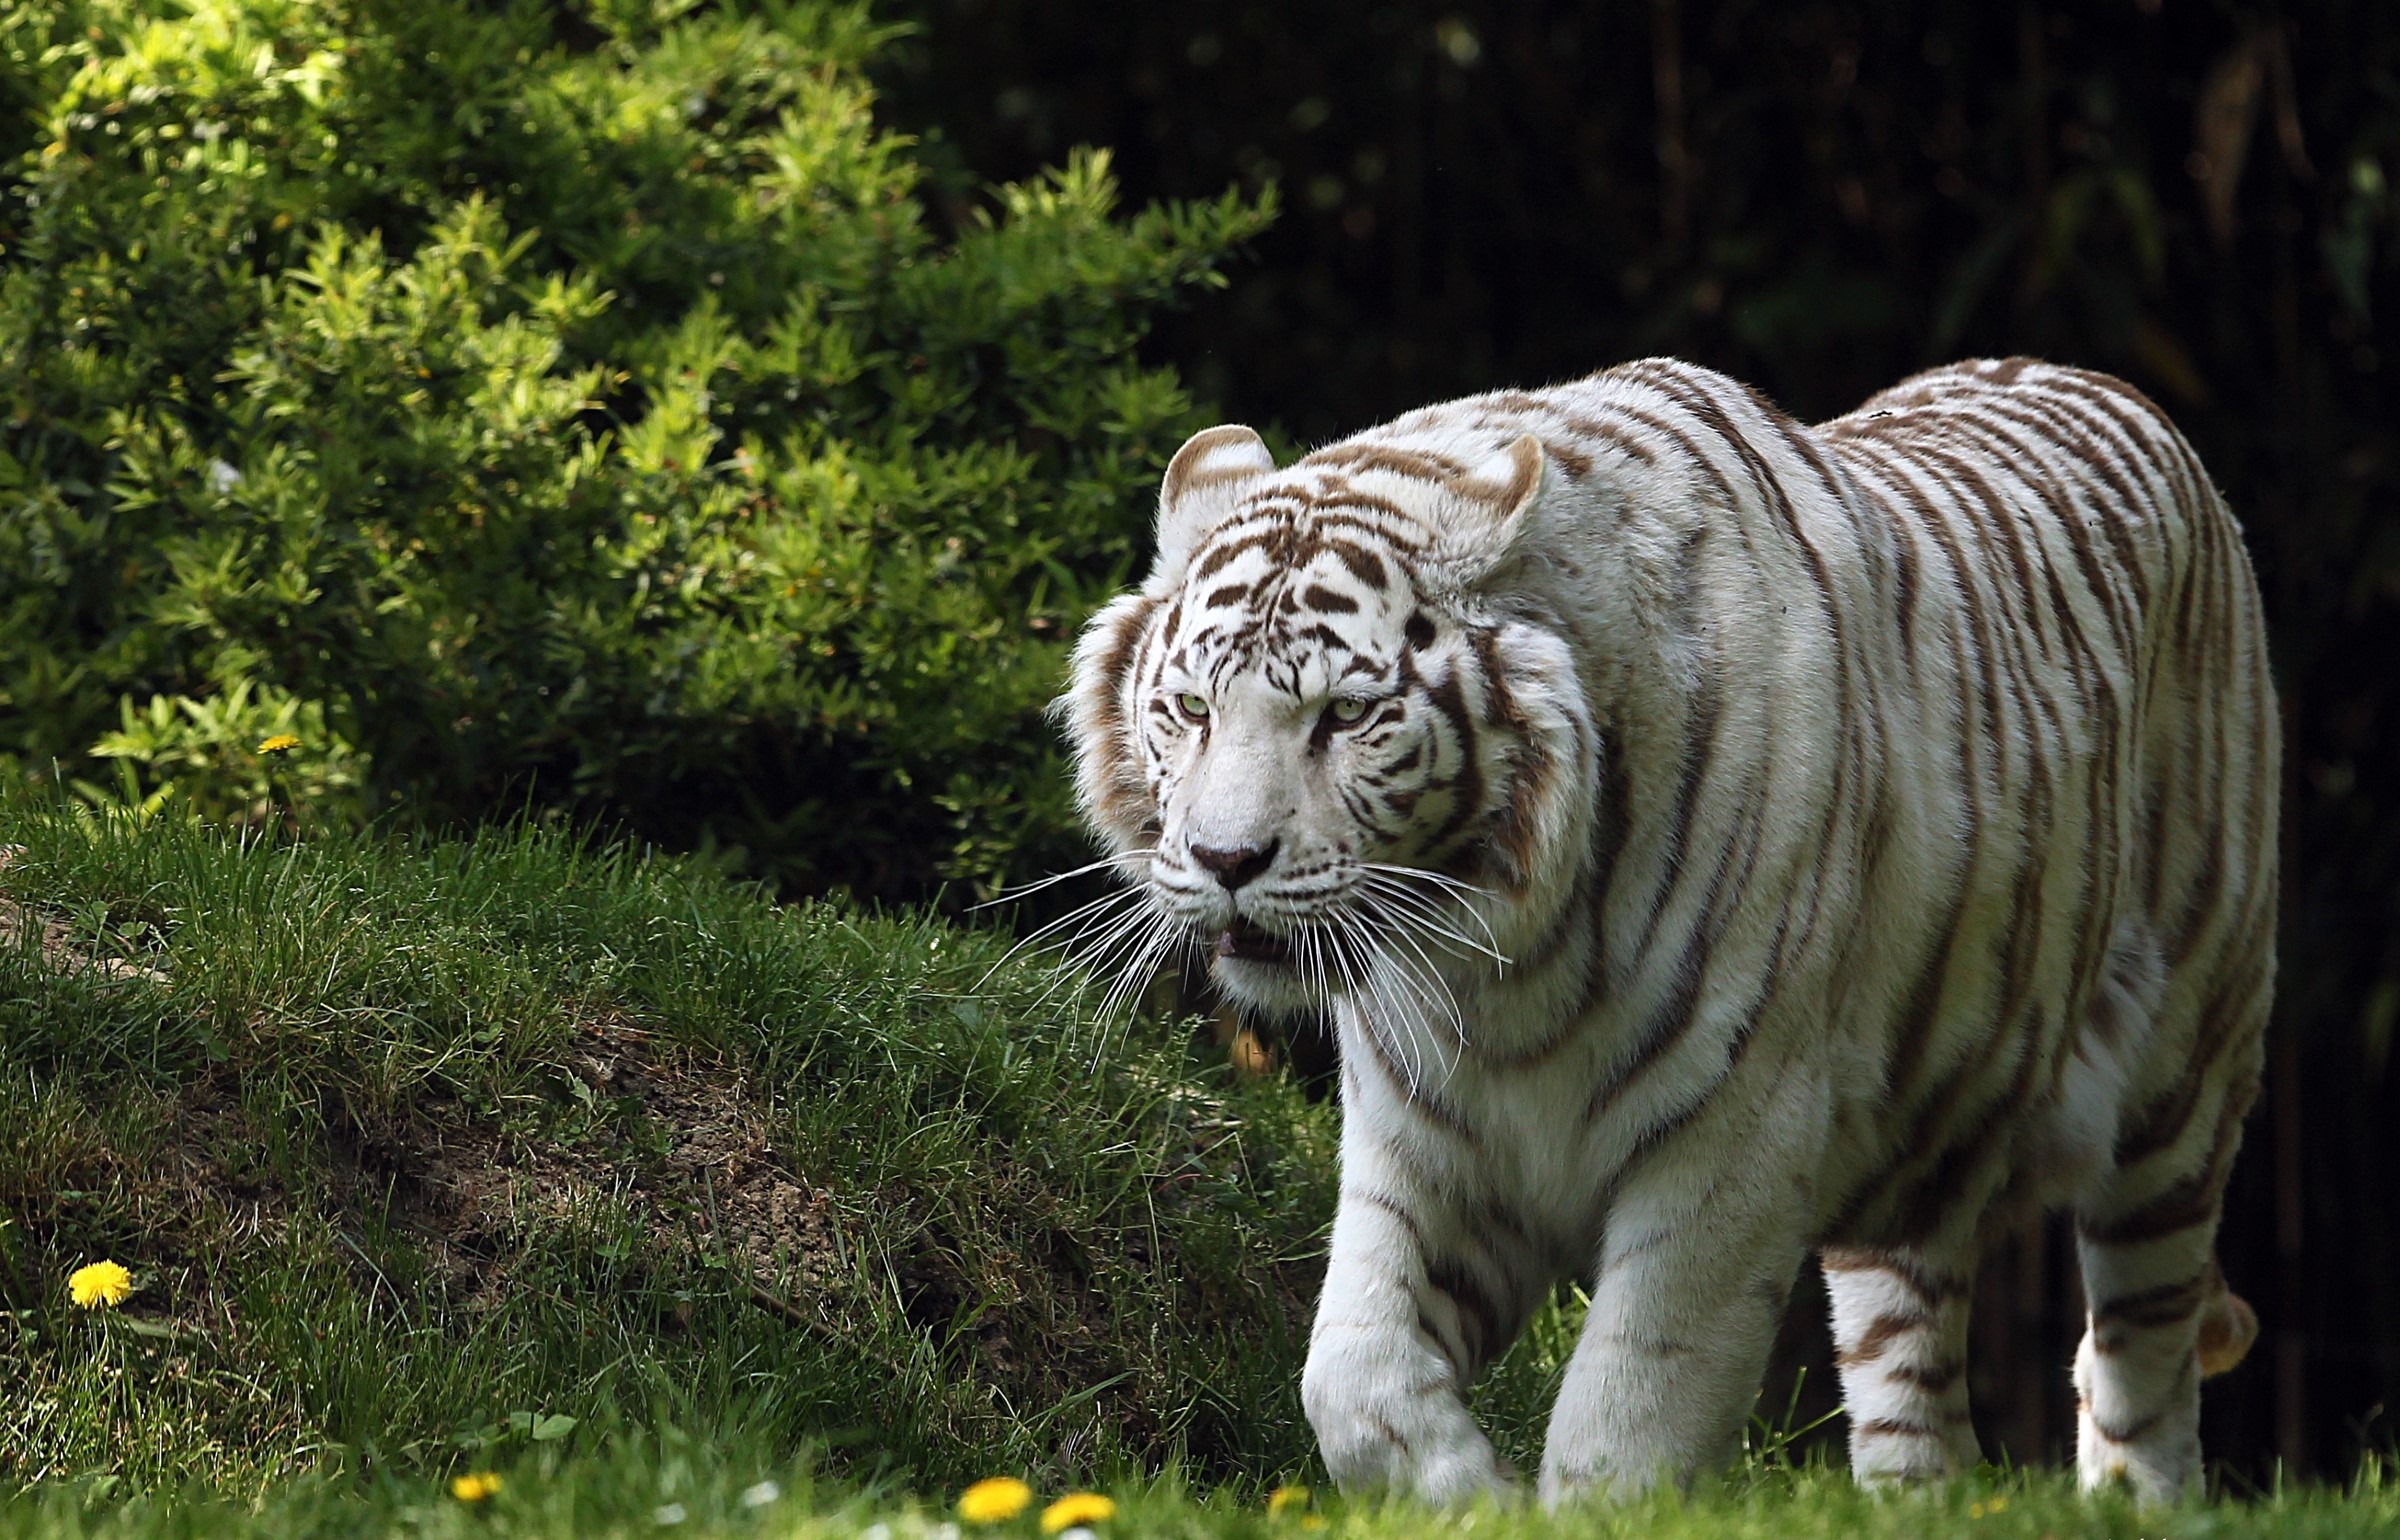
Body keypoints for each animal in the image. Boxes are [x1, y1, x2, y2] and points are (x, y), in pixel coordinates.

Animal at [1058, 356, 2276, 1506]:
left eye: (1346, 717)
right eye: (1192, 709)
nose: (1227, 861)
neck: (1501, 962)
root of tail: (2120, 392)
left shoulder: (1734, 1138)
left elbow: (1632, 1408)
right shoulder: (1424, 1140)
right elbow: (1353, 1380)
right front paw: (1476, 1500)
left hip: (2181, 1086)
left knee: (2146, 1351)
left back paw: (2136, 1498)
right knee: (1917, 1379)